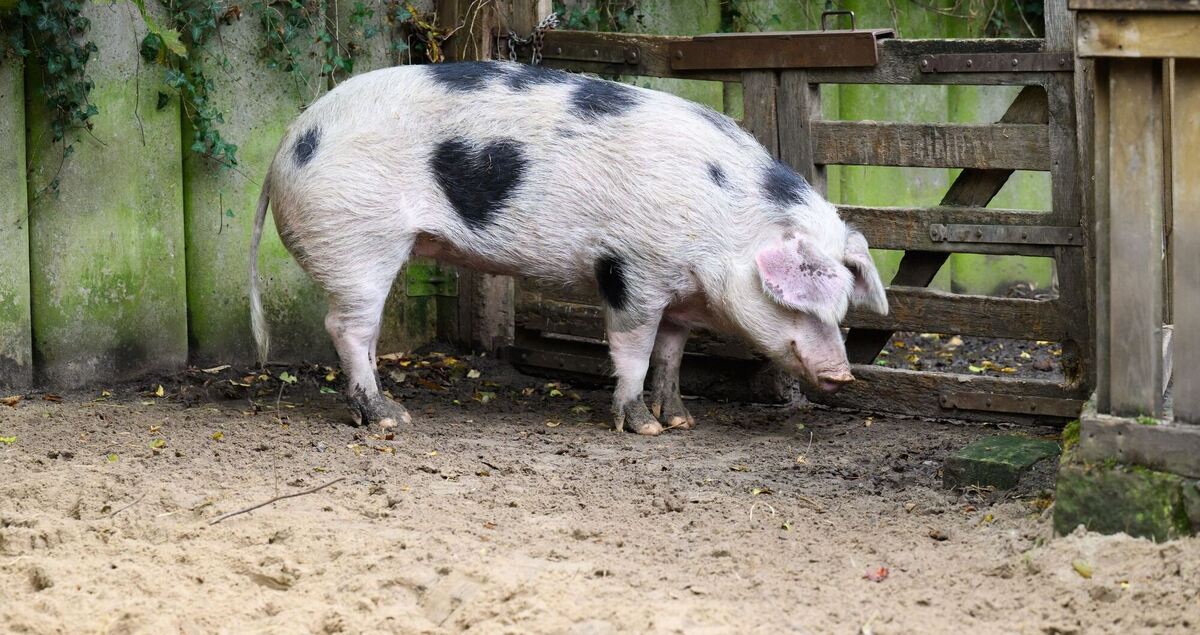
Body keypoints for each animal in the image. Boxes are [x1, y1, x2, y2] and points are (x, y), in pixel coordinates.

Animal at [249, 60, 889, 436]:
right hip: (358, 239)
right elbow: (633, 350)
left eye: (841, 309)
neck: (723, 220)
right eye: (796, 304)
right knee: (347, 327)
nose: (843, 373)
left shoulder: (679, 294)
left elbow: (671, 354)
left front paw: (681, 421)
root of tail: (285, 146)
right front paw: (643, 429)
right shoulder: (632, 269)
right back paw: (388, 420)